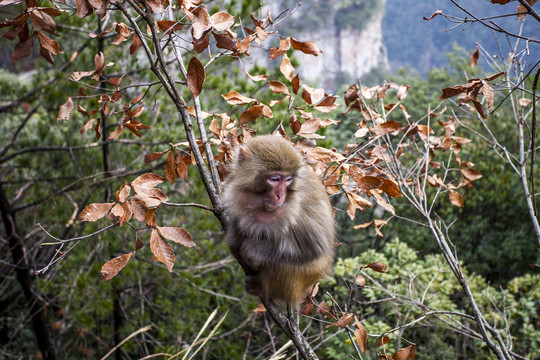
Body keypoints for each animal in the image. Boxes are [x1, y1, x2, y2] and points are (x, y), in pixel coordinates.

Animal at [223, 135, 334, 306]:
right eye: (274, 179)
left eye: (288, 179)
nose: (280, 195)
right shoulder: (233, 181)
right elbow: (236, 222)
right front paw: (234, 243)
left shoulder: (299, 202)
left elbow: (314, 247)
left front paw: (253, 251)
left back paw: (262, 289)